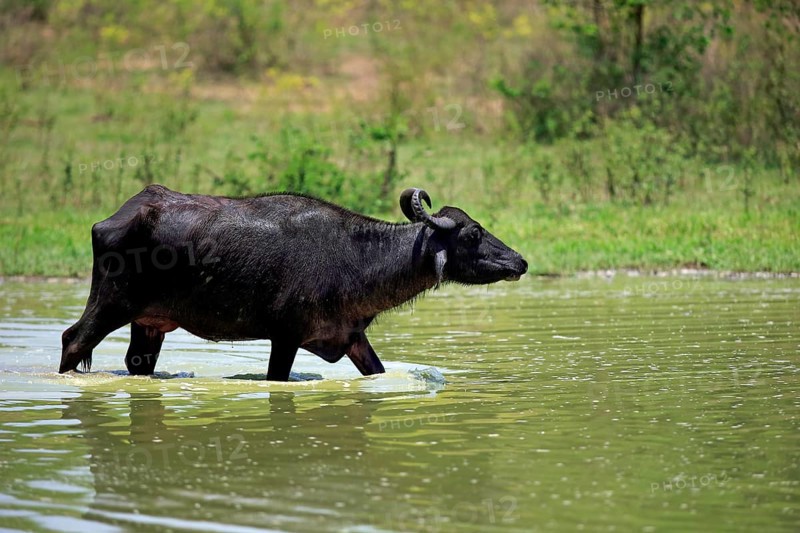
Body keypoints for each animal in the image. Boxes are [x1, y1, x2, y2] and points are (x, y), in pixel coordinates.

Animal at [59, 185, 527, 380]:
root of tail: (115, 218)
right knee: (73, 340)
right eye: (473, 234)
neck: (355, 258)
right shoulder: (284, 337)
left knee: (137, 363)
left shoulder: (351, 338)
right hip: (110, 304)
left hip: (149, 324)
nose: (519, 261)